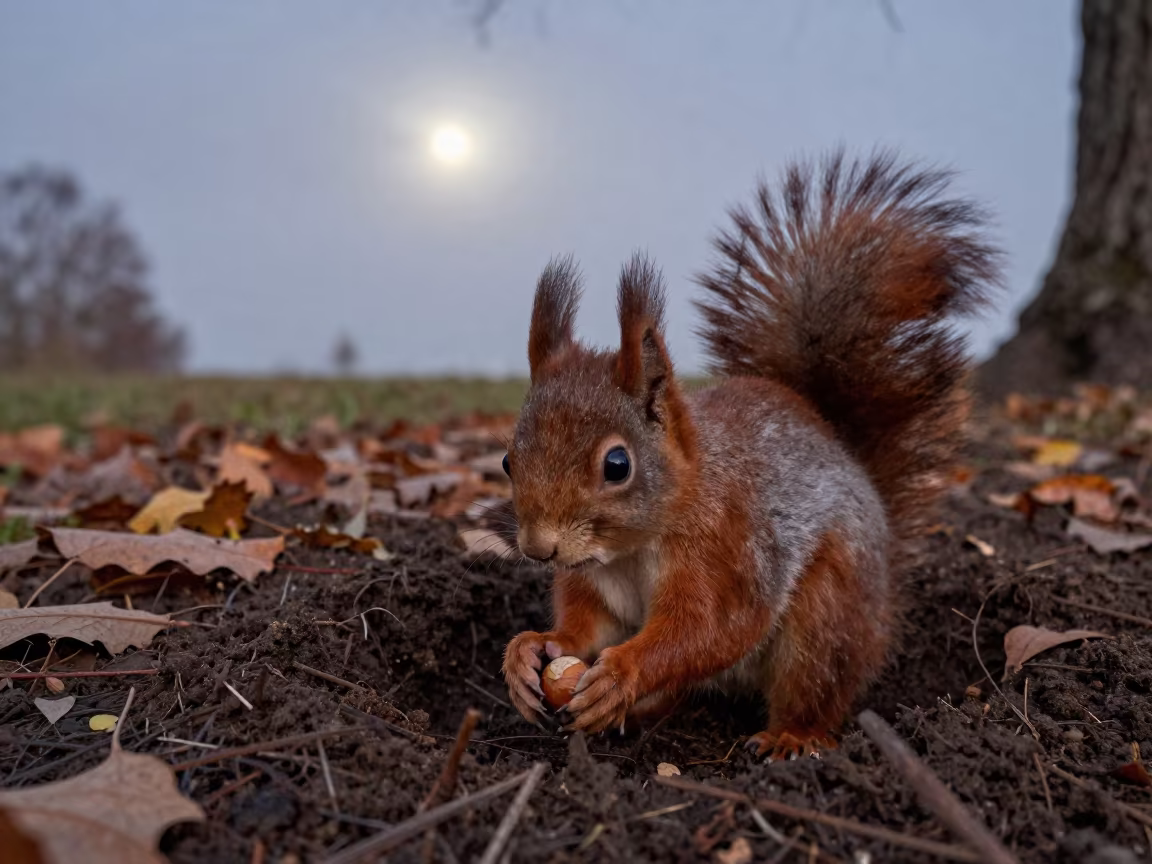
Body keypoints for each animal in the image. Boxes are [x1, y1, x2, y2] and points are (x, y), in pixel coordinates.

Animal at [497, 150, 1001, 760]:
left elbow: (711, 629)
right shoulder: (595, 582)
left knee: (816, 683)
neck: (632, 549)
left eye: (617, 465)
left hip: (829, 612)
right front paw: (532, 651)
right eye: (507, 462)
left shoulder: (726, 551)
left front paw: (623, 673)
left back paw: (791, 736)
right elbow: (585, 627)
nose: (538, 548)